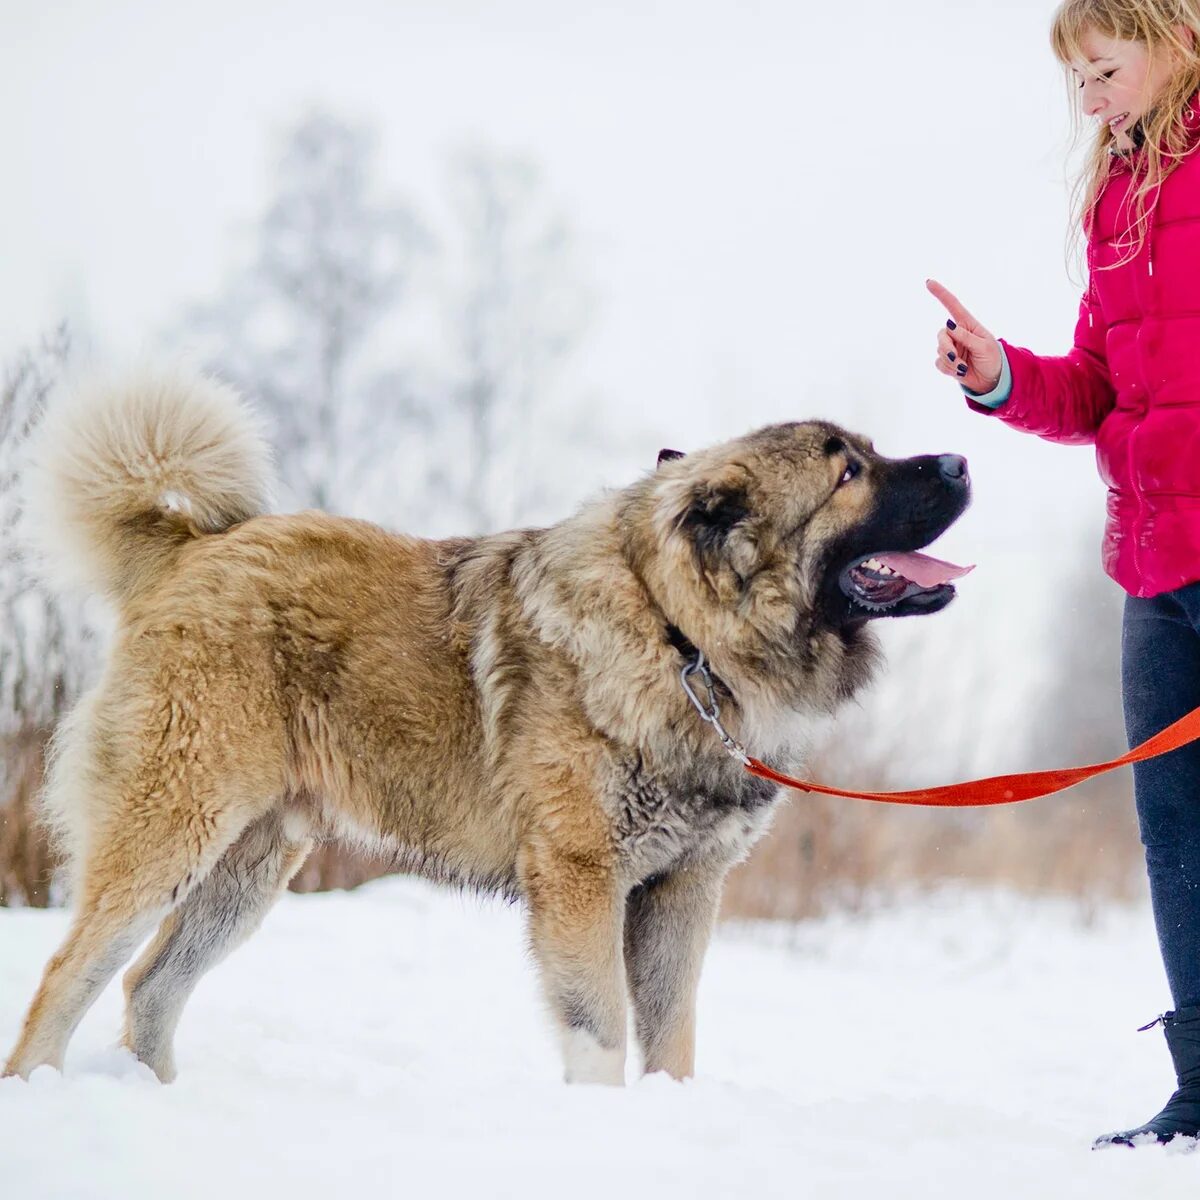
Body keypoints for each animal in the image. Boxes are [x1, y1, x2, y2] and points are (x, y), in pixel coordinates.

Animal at [4, 374, 969, 1089]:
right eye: (847, 474)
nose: (961, 460)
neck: (681, 641)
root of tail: (192, 546)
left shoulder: (682, 892)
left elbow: (672, 1044)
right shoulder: (582, 881)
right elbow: (600, 1034)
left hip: (248, 868)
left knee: (149, 986)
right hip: (173, 830)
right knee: (67, 977)